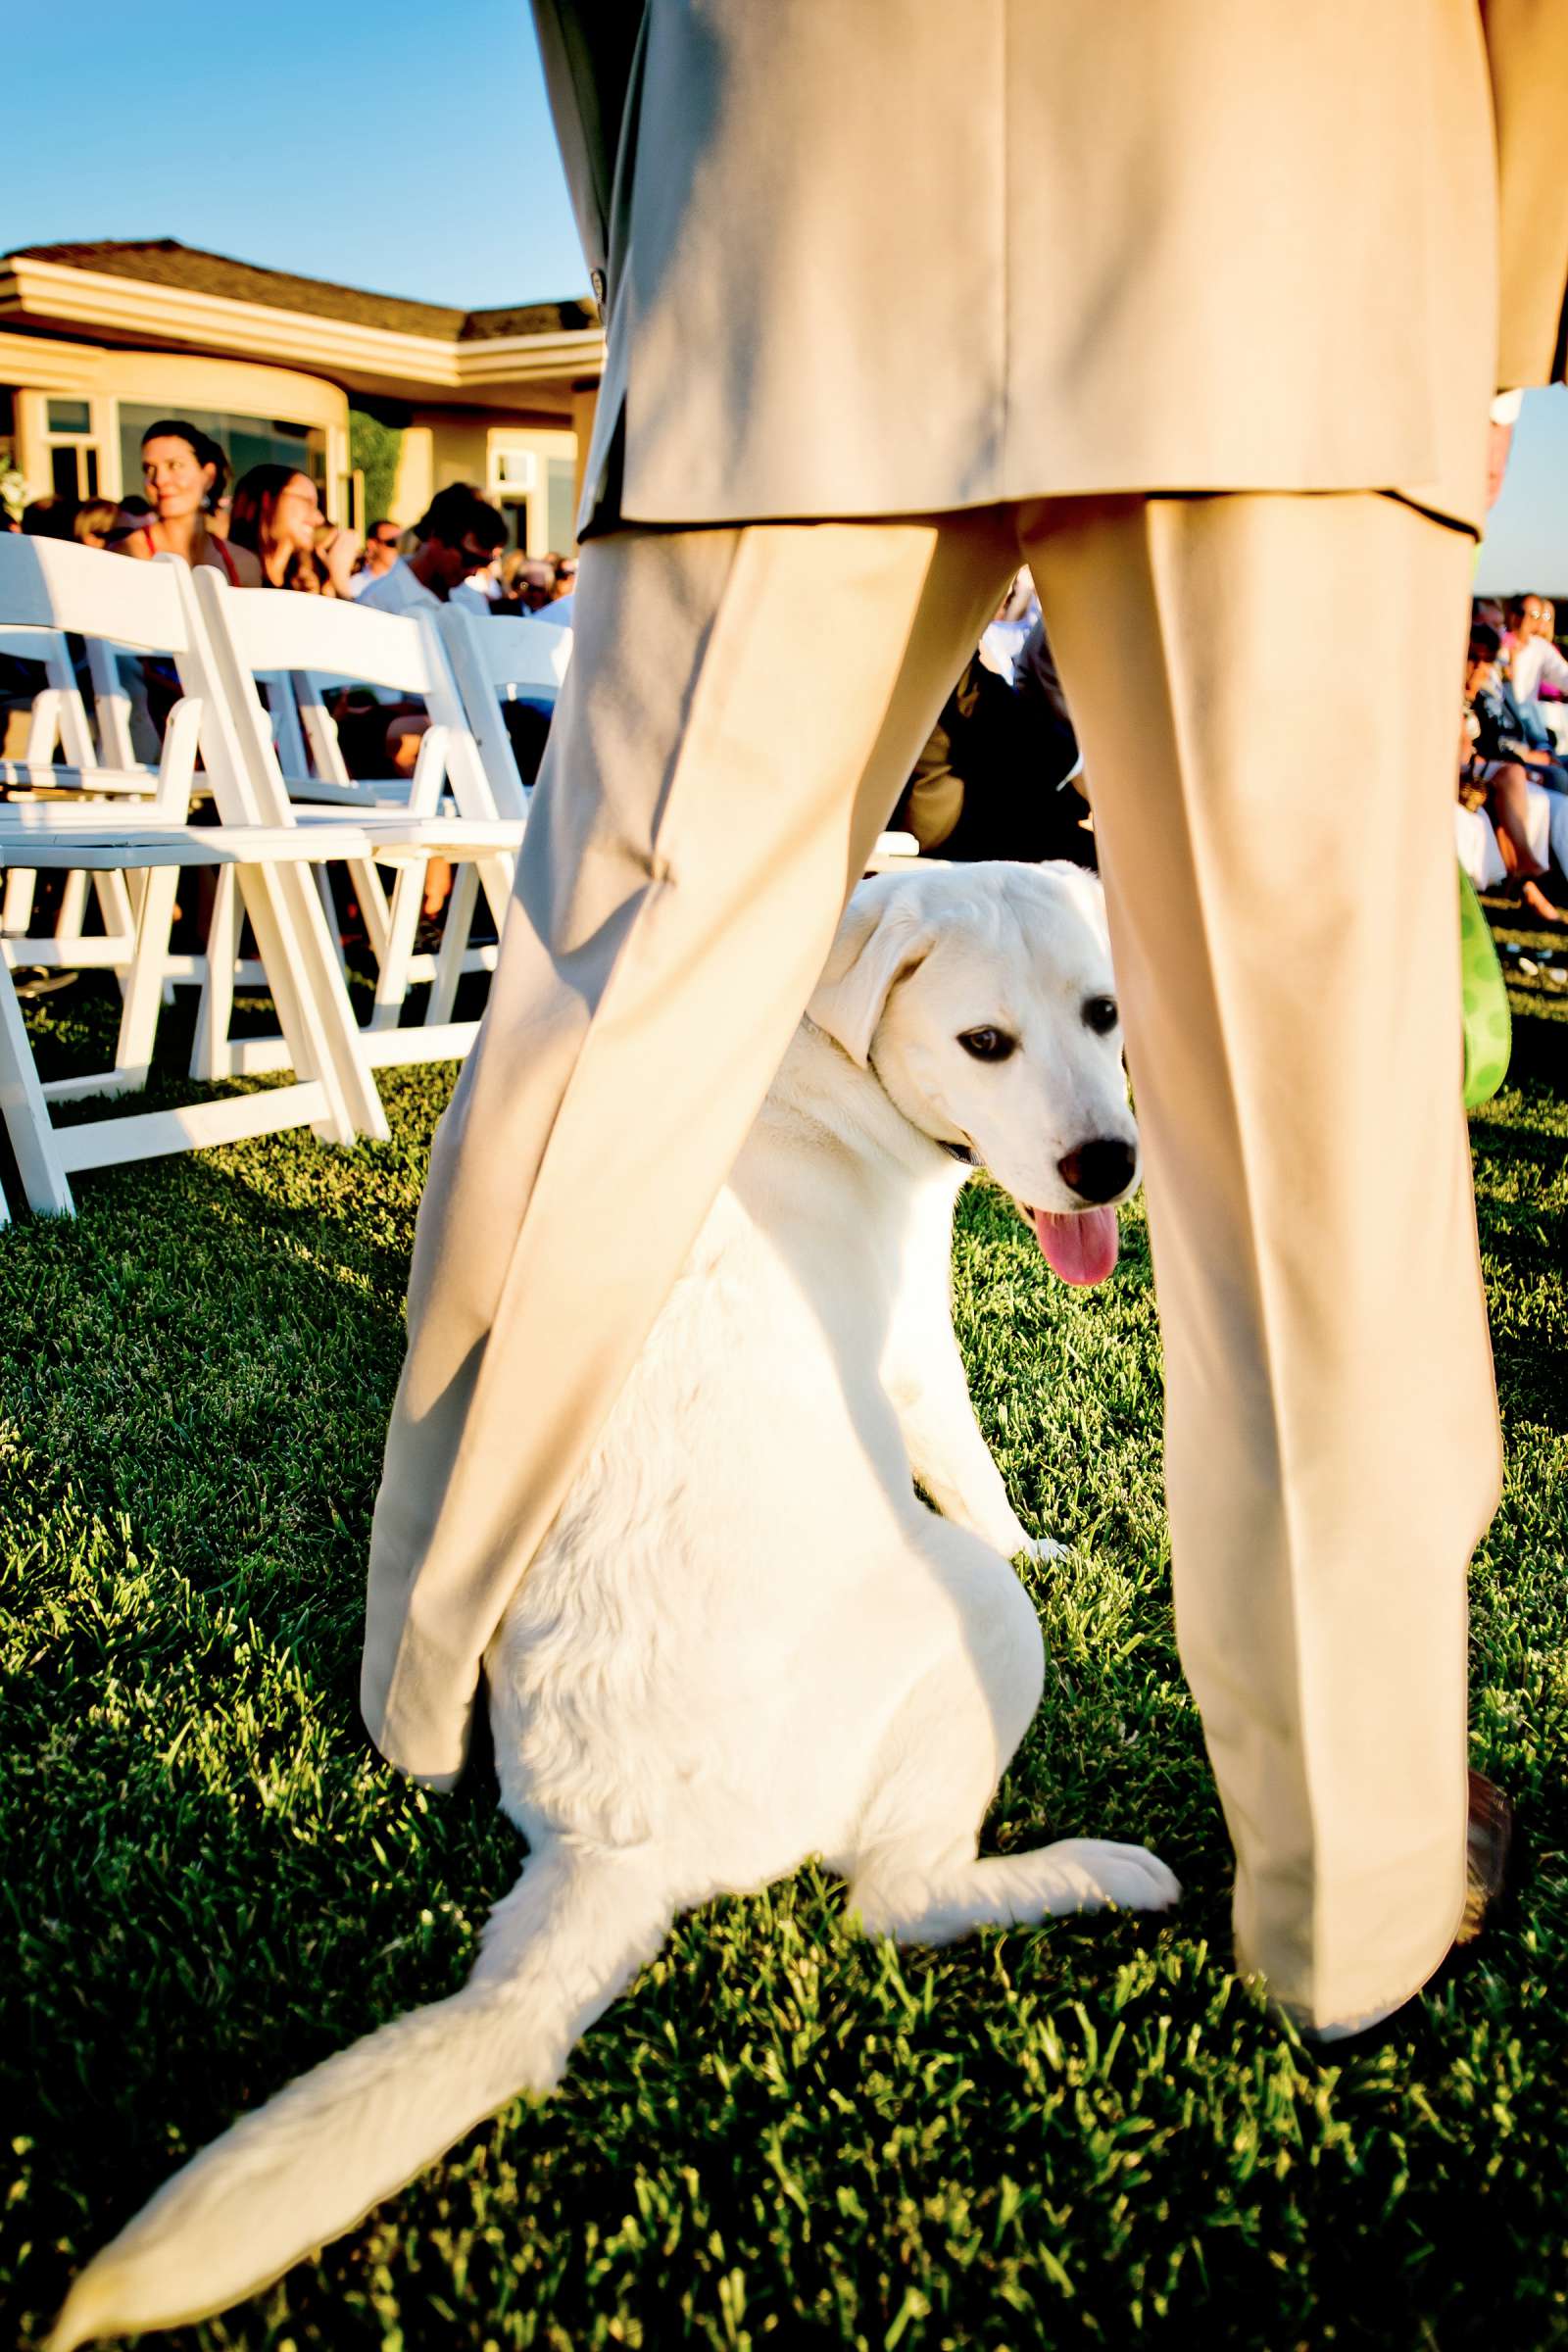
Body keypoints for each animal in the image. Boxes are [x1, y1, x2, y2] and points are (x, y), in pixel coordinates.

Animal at [52, 865, 1175, 2352]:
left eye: (1105, 1014)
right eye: (985, 1043)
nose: (1108, 1167)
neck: (809, 1057)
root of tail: (612, 1844)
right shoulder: (916, 1361)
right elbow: (979, 1474)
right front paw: (1047, 1540)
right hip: (981, 1634)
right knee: (899, 1900)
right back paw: (1102, 1873)